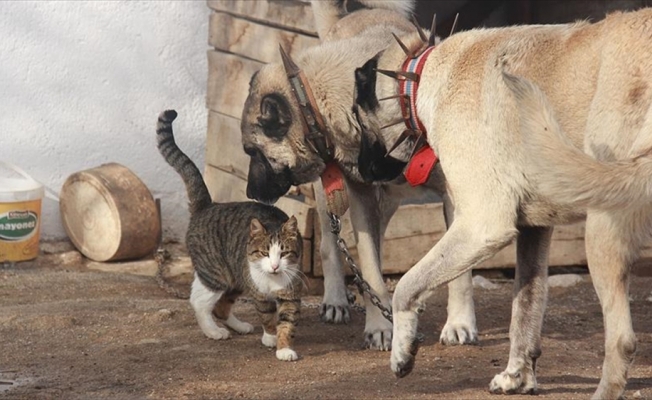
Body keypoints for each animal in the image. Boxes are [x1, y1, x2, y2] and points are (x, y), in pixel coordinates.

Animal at [155, 109, 304, 362]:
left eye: (283, 253)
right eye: (265, 253)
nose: (275, 266)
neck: (273, 280)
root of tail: (207, 206)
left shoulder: (290, 295)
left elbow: (286, 323)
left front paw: (284, 348)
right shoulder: (259, 295)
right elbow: (268, 317)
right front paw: (270, 337)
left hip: (234, 277)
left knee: (221, 307)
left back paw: (239, 326)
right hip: (217, 273)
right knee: (200, 302)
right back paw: (214, 331)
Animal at [239, 0, 478, 350]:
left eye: (253, 153)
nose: (250, 194)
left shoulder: (451, 194)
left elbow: (458, 270)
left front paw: (459, 323)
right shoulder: (361, 197)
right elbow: (371, 270)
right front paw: (380, 327)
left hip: (387, 200)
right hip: (332, 198)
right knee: (332, 247)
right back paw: (338, 299)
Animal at [352, 7, 652, 398]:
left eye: (357, 117)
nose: (358, 170)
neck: (421, 74)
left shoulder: (481, 225)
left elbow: (406, 285)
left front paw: (402, 353)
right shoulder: (533, 231)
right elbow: (524, 309)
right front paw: (517, 376)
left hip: (603, 228)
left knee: (622, 340)